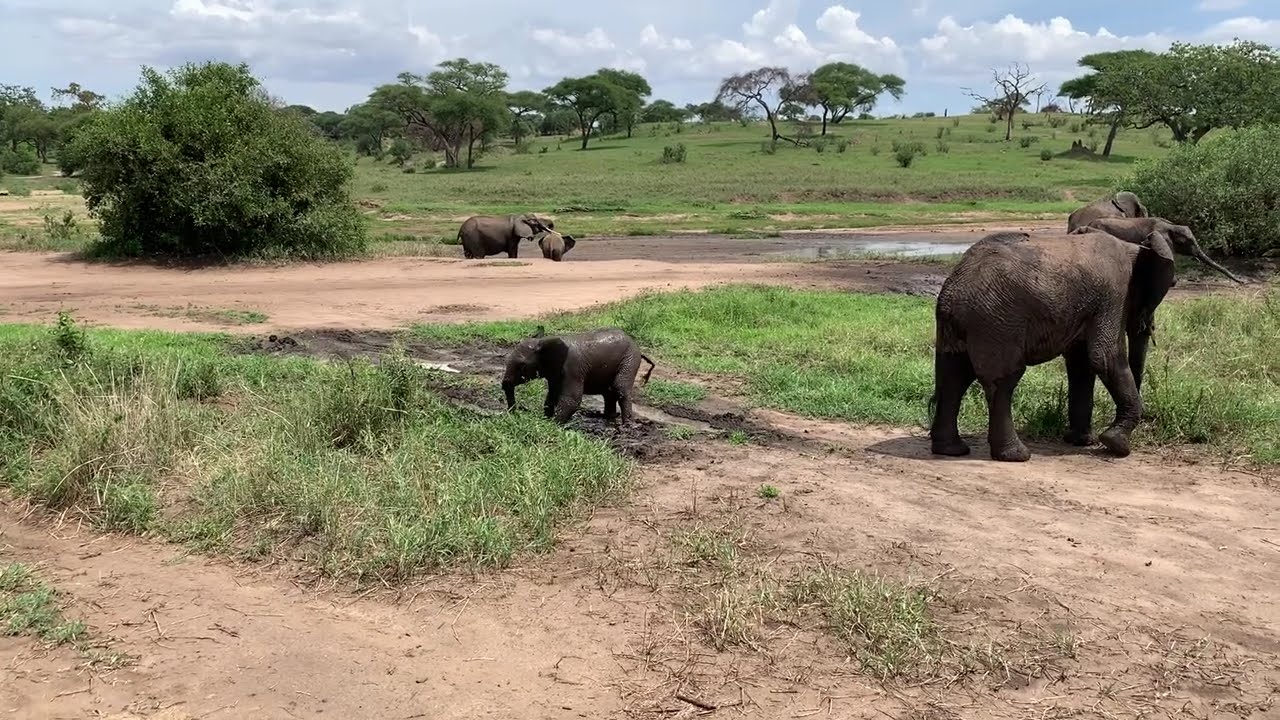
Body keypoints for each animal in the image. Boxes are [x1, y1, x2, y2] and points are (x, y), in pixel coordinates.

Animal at [502, 326, 656, 424]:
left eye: (522, 367)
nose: (514, 413)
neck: (545, 341)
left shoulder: (573, 368)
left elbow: (572, 399)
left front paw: (552, 424)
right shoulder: (554, 372)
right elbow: (551, 395)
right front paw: (545, 419)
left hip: (630, 359)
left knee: (620, 387)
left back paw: (627, 425)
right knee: (609, 391)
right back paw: (608, 418)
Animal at [928, 229, 1177, 463]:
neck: (1133, 247)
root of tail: (954, 287)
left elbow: (1081, 363)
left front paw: (1081, 441)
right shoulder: (1113, 295)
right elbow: (1105, 356)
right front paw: (1116, 445)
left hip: (959, 323)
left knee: (953, 375)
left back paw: (951, 450)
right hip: (996, 321)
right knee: (1003, 380)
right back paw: (1016, 455)